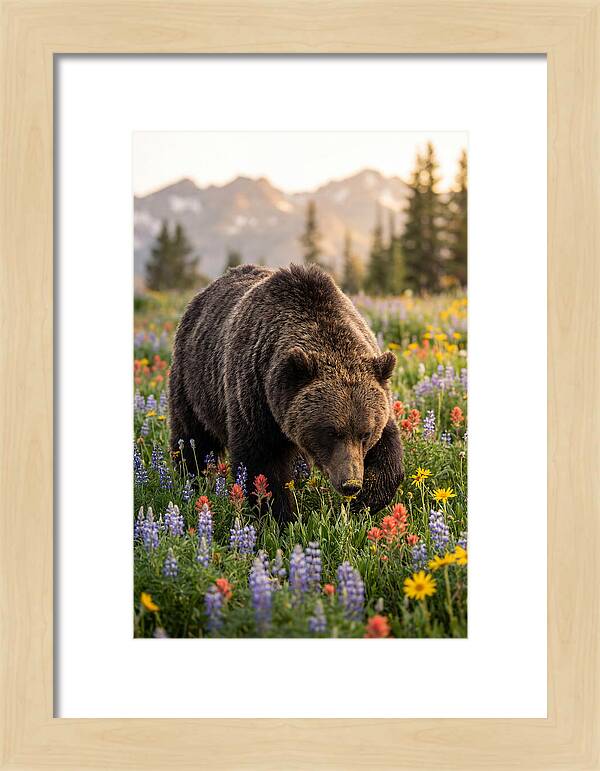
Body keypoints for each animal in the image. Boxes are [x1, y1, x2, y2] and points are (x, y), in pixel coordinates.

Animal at [168, 263, 404, 521]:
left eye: (365, 433)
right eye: (331, 432)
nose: (350, 483)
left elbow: (388, 449)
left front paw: (367, 500)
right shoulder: (255, 396)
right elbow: (262, 463)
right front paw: (280, 517)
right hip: (194, 382)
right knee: (192, 437)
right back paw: (191, 480)